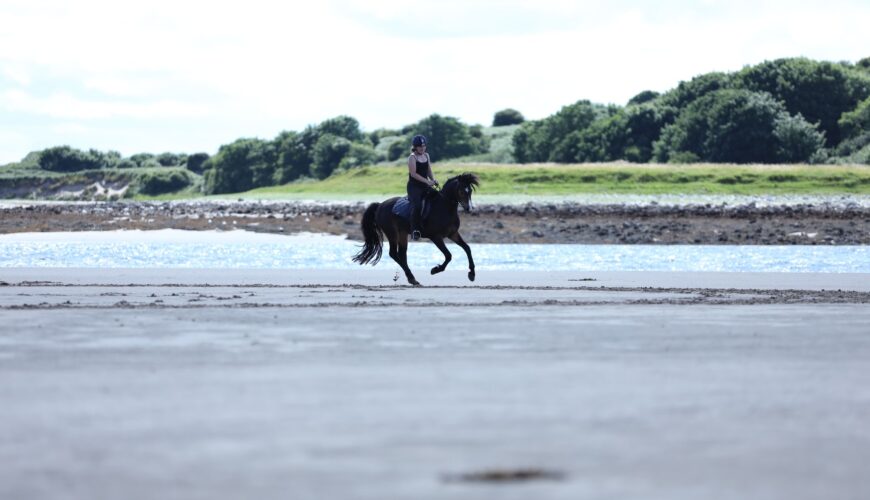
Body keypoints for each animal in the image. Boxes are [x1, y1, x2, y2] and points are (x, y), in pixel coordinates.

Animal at [350, 174, 480, 288]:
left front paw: (472, 274)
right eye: (462, 191)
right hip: (392, 233)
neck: (444, 207)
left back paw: (412, 278)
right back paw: (412, 277)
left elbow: (467, 248)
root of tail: (380, 205)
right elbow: (448, 255)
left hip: (402, 234)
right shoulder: (436, 237)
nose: (469, 209)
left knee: (402, 255)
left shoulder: (453, 234)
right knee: (393, 254)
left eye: (470, 191)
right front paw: (435, 270)